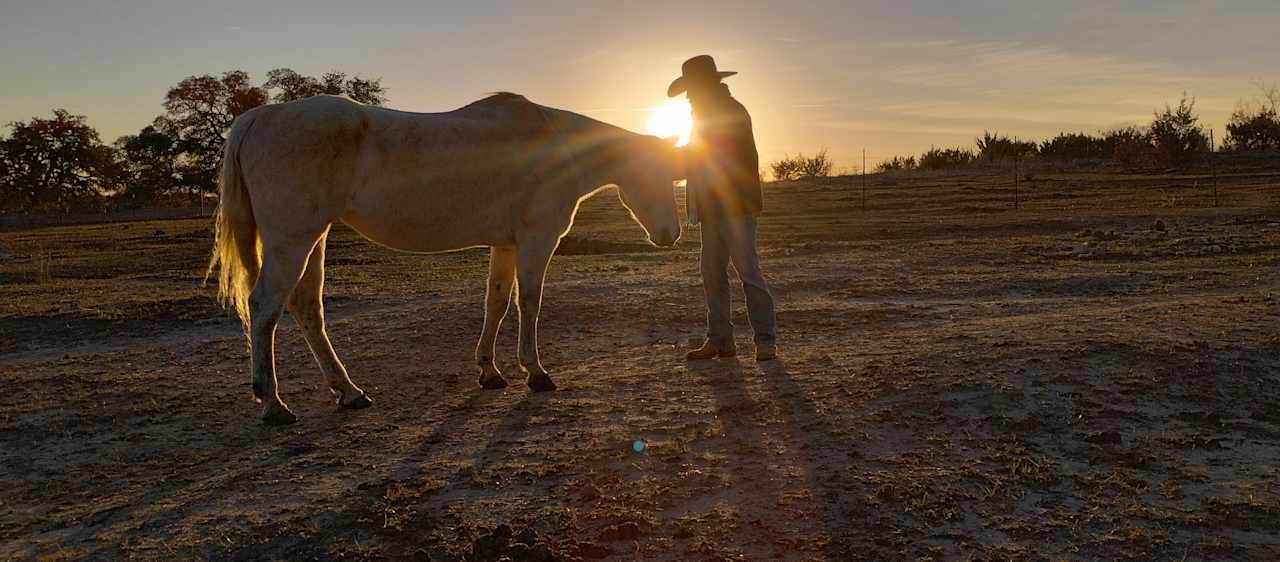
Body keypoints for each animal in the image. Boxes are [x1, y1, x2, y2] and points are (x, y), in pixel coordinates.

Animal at [208, 94, 686, 425]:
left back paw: (349, 392)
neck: (551, 145)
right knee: (264, 308)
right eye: (658, 173)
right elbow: (529, 303)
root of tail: (260, 116)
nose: (671, 235)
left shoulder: (506, 245)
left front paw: (490, 372)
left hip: (314, 238)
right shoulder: (537, 241)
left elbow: (496, 303)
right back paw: (272, 403)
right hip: (294, 241)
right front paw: (535, 372)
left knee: (307, 308)